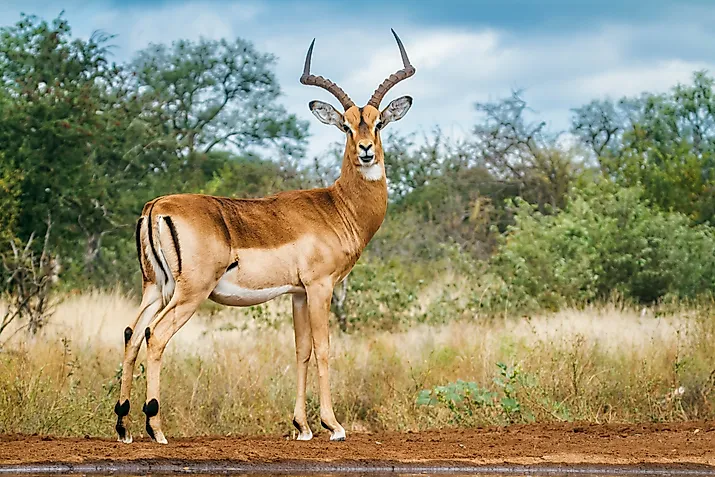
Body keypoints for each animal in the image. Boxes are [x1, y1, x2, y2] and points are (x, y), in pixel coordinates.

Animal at [114, 30, 415, 444]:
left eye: (379, 123)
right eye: (346, 126)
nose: (366, 151)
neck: (337, 206)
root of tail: (157, 205)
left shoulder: (298, 294)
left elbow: (301, 350)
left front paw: (302, 427)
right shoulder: (320, 287)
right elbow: (323, 348)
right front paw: (333, 426)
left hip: (154, 287)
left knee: (131, 333)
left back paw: (123, 427)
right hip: (189, 293)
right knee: (155, 335)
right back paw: (156, 428)